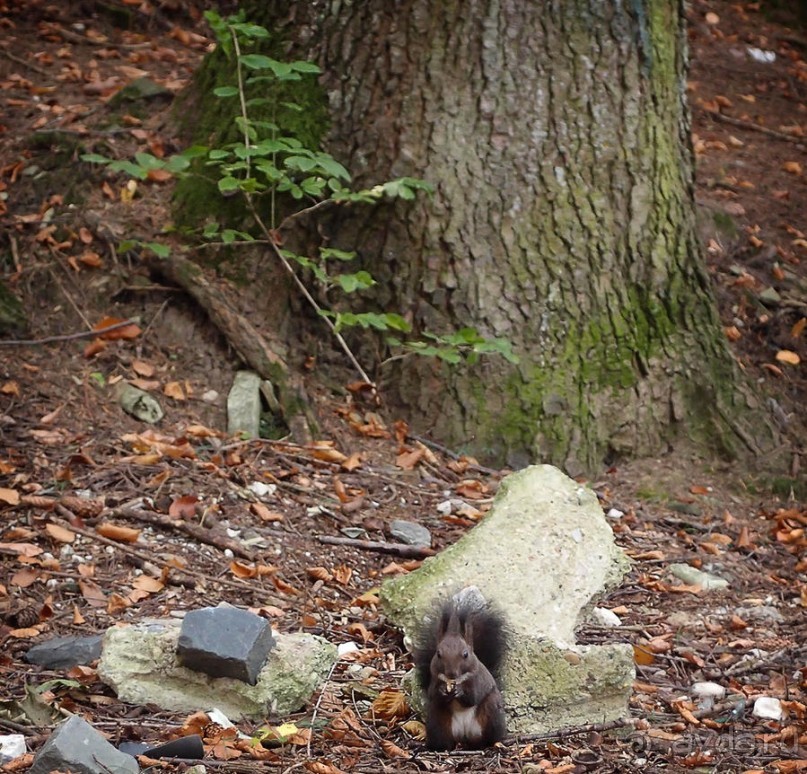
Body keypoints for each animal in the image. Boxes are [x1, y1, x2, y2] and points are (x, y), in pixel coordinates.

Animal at [414, 596, 508, 752]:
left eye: (465, 654)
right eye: (438, 653)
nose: (451, 673)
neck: (456, 680)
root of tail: (464, 736)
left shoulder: (478, 680)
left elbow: (474, 697)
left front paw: (460, 691)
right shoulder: (435, 679)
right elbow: (433, 694)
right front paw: (442, 690)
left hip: (491, 713)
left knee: (487, 738)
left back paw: (490, 744)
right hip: (437, 721)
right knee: (443, 741)